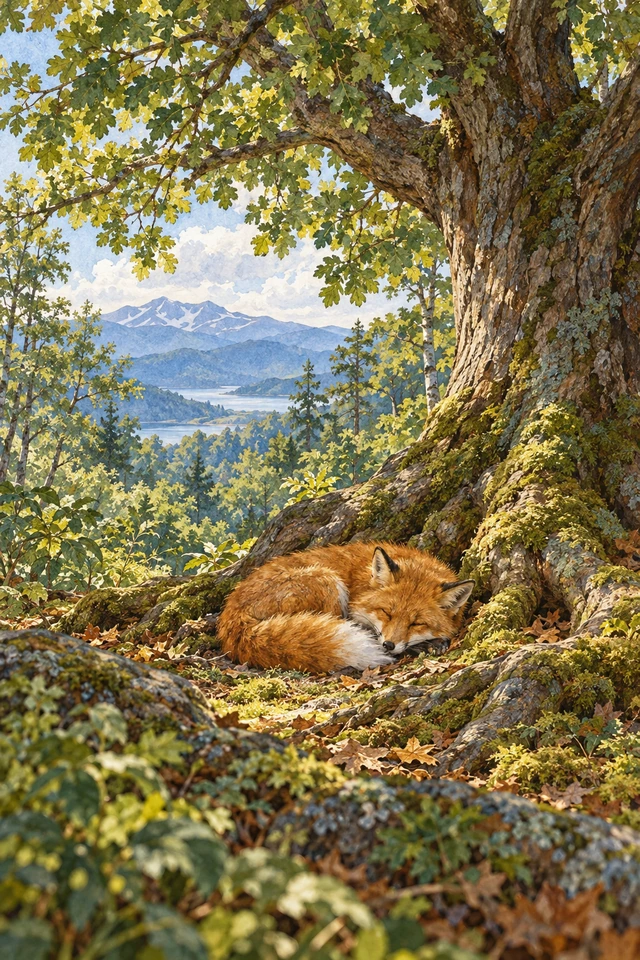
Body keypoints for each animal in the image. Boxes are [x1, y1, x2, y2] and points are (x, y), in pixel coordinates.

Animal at [216, 542, 474, 673]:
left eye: (416, 623)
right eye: (387, 613)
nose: (389, 644)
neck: (363, 582)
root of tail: (232, 612)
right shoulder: (355, 612)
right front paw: (427, 645)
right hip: (327, 581)